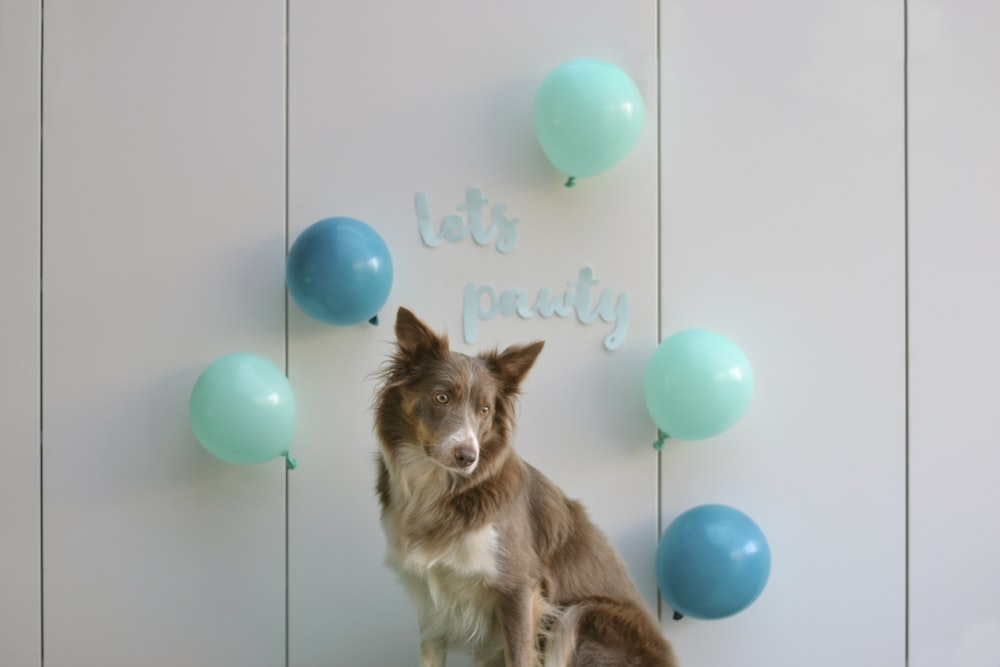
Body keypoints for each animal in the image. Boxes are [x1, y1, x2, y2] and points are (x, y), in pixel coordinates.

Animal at [376, 310, 680, 667]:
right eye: (442, 397)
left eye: (485, 410)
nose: (468, 457)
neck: (435, 488)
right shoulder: (430, 599)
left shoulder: (518, 588)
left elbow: (520, 655)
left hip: (583, 613)